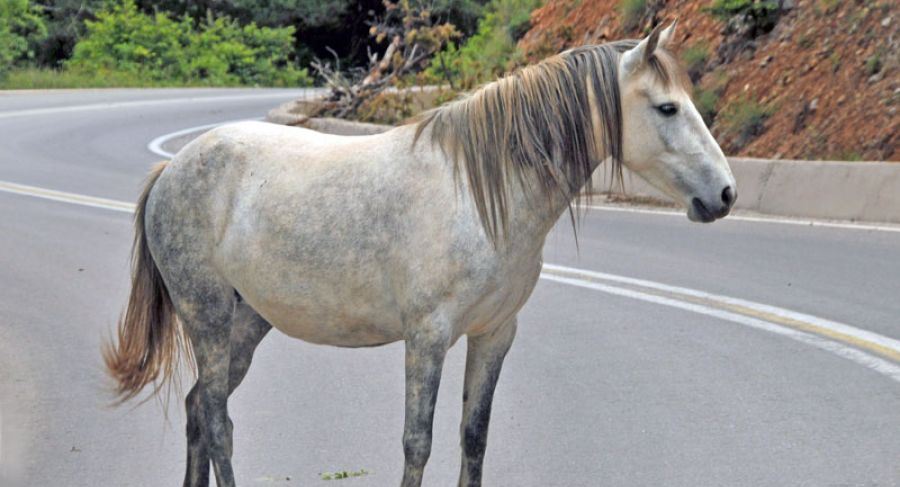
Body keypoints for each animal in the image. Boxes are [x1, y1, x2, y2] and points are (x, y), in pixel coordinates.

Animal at [105, 23, 736, 487]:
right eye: (667, 108)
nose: (726, 194)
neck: (481, 195)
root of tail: (173, 169)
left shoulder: (494, 334)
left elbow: (472, 438)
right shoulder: (427, 337)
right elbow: (418, 441)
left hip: (248, 322)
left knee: (197, 411)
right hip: (207, 317)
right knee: (217, 421)